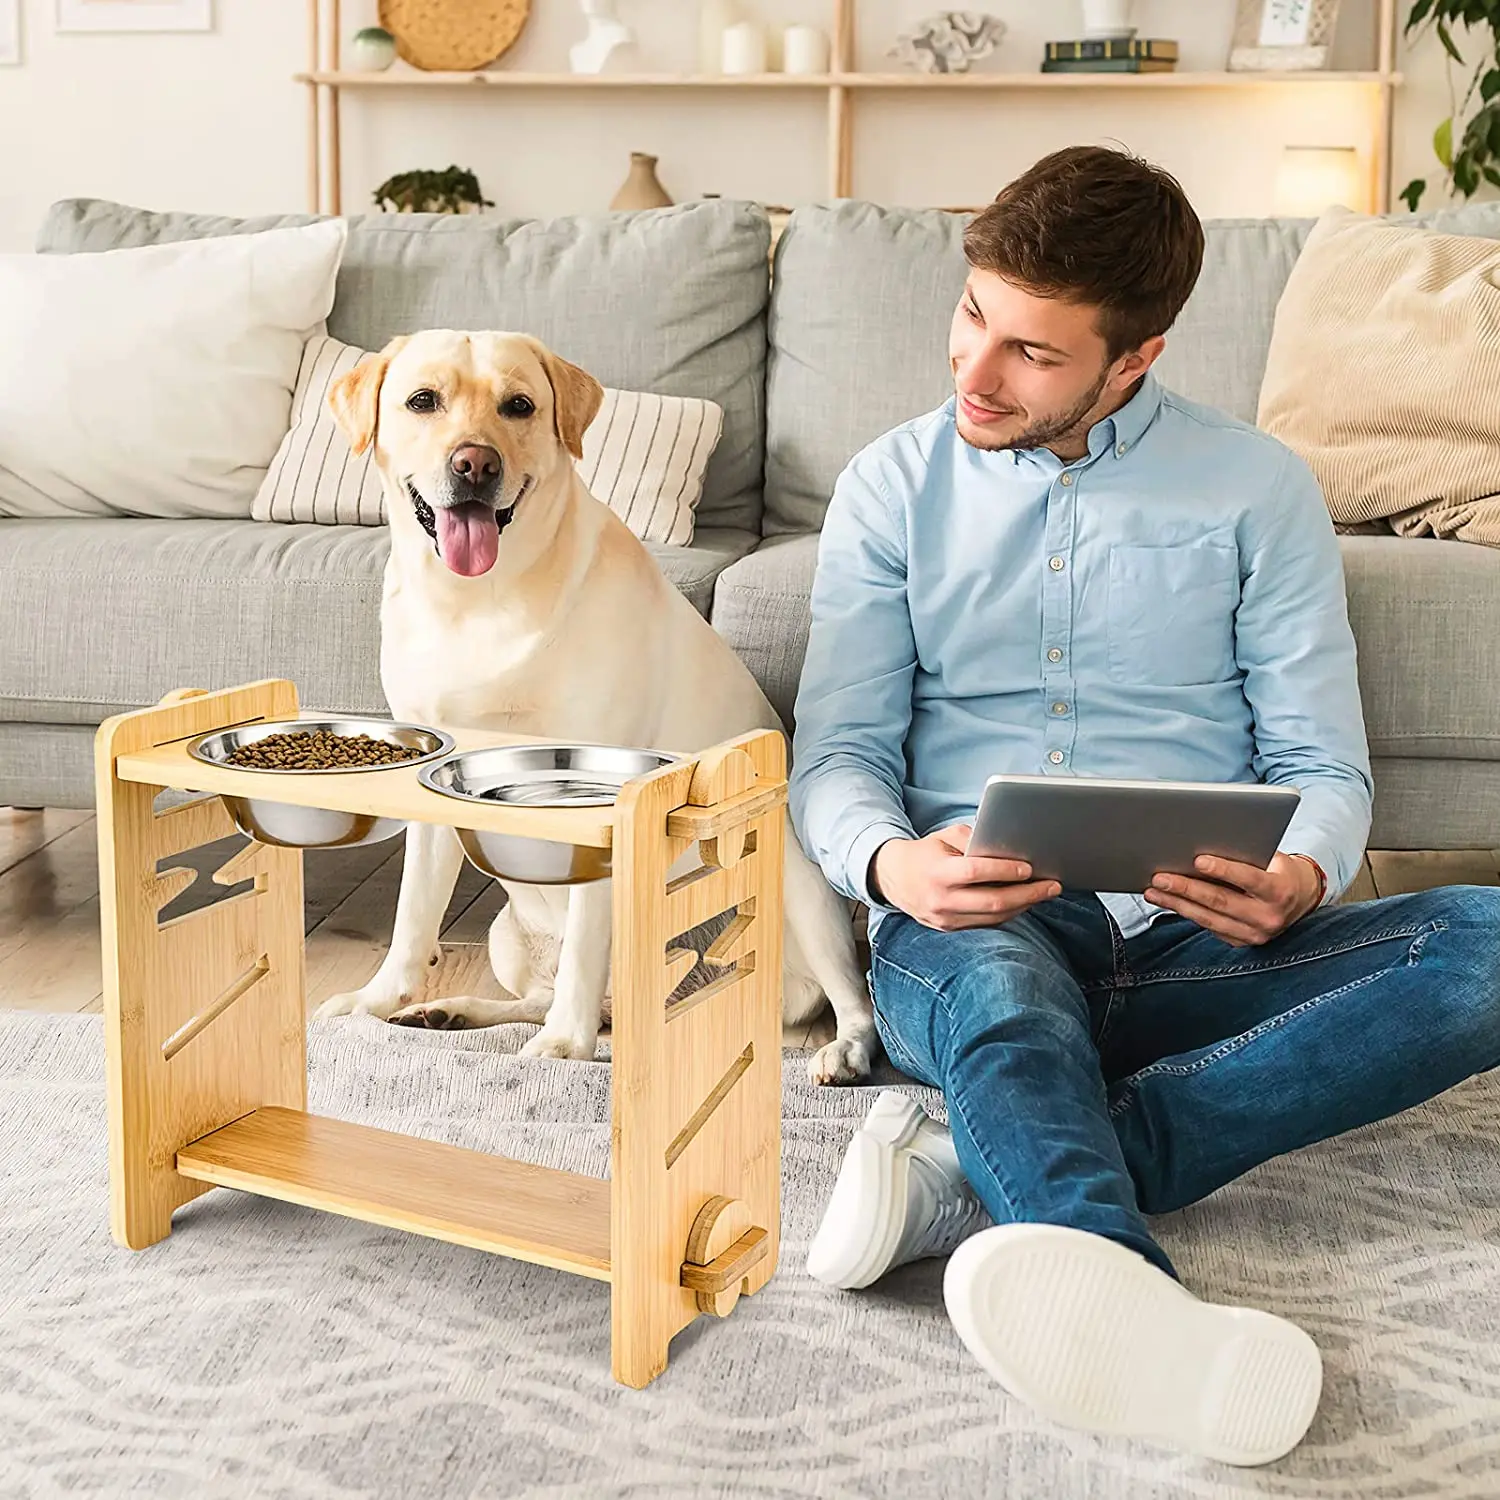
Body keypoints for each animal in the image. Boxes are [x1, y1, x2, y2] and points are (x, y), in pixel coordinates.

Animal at [316, 328, 876, 1086]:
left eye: (519, 405)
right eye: (422, 400)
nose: (474, 464)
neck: (479, 601)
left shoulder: (602, 799)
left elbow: (584, 944)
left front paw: (564, 1048)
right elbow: (410, 922)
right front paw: (374, 1002)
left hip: (800, 888)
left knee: (853, 1000)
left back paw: (843, 1052)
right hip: (509, 935)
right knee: (549, 998)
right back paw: (453, 1011)